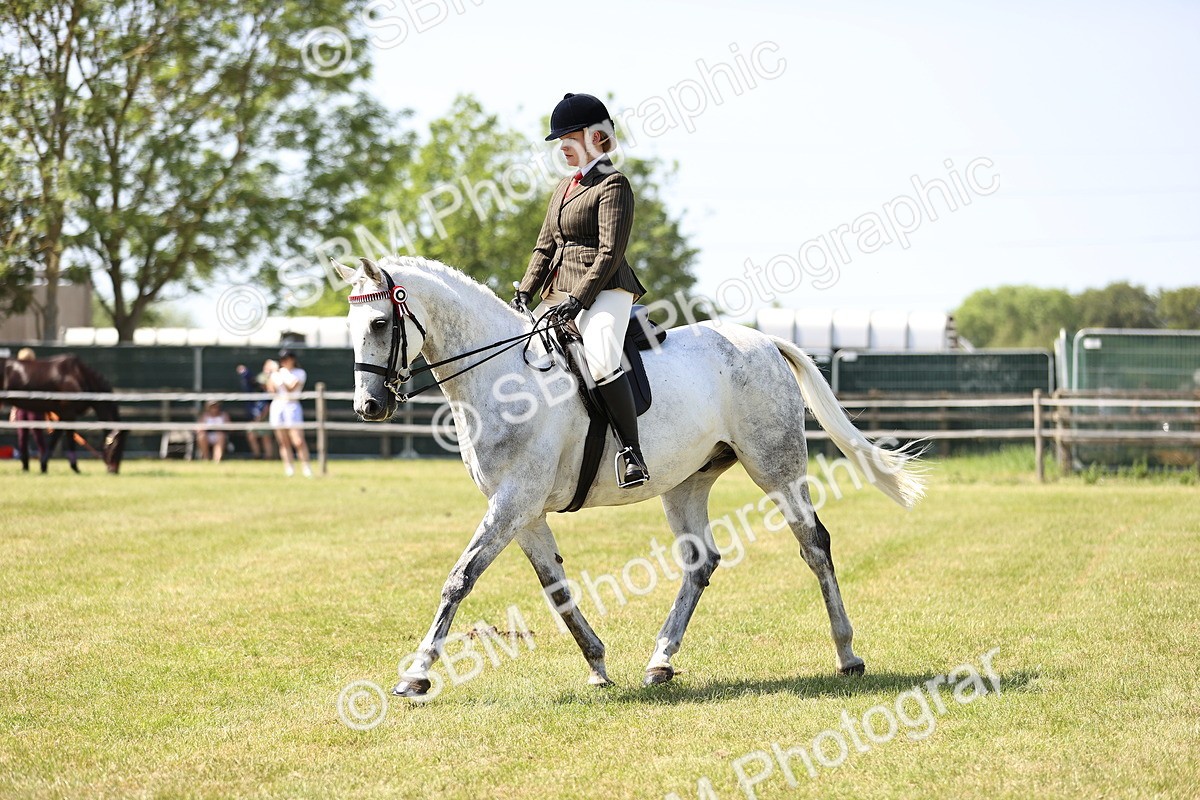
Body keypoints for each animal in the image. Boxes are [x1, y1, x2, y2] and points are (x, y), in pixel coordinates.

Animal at [335, 255, 925, 697]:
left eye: (381, 324)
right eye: (352, 328)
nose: (369, 407)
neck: (503, 378)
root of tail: (762, 342)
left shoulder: (513, 502)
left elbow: (460, 577)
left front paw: (416, 675)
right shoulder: (521, 512)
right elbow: (556, 587)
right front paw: (597, 664)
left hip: (776, 467)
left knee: (814, 544)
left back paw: (847, 654)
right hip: (686, 483)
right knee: (701, 563)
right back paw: (660, 661)